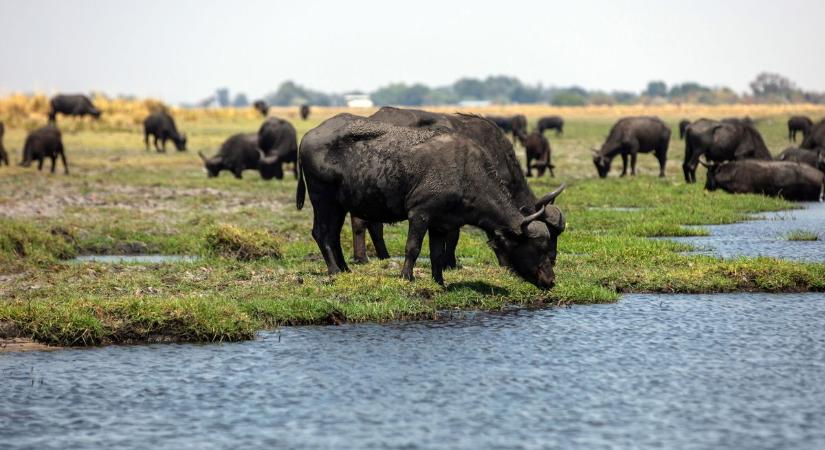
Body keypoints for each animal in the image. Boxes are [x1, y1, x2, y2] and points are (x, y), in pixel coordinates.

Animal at [296, 113, 568, 288]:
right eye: (538, 248)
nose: (551, 280)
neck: (466, 172)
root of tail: (307, 136)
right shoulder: (420, 214)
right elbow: (413, 247)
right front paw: (407, 277)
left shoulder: (441, 224)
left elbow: (436, 254)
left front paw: (440, 282)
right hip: (322, 199)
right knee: (321, 232)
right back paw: (333, 271)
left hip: (339, 205)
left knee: (333, 234)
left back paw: (345, 269)